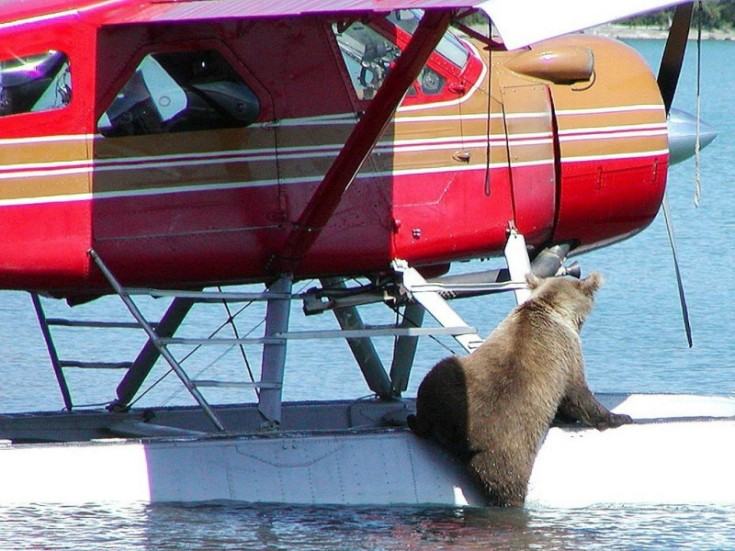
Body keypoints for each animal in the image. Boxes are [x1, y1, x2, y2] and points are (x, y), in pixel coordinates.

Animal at [408, 272, 632, 508]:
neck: (551, 307)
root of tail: (460, 433)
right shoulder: (567, 355)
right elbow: (578, 394)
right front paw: (619, 416)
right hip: (510, 448)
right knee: (507, 483)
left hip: (442, 383)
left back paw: (413, 420)